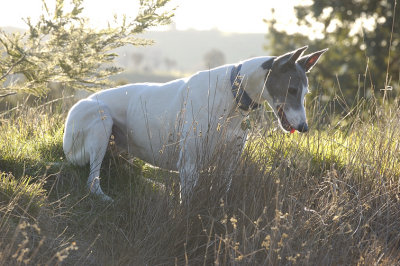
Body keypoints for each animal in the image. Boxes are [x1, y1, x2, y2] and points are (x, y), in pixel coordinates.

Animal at [61, 45, 324, 201]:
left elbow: (224, 192)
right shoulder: (189, 166)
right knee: (92, 181)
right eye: (291, 90)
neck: (232, 94)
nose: (304, 128)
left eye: (305, 93)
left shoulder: (229, 163)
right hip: (100, 120)